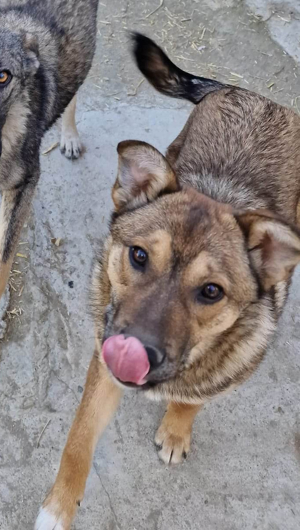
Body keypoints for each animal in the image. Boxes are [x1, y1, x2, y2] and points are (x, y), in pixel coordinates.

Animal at [36, 35, 300, 524]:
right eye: (139, 256)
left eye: (211, 291)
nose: (131, 353)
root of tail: (256, 95)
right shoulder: (102, 364)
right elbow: (78, 441)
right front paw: (57, 510)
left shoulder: (225, 372)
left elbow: (194, 399)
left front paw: (177, 430)